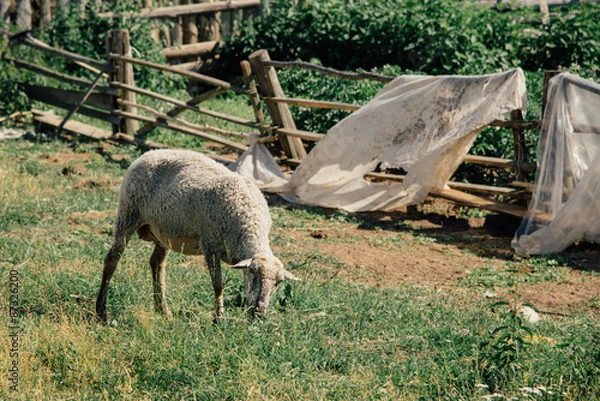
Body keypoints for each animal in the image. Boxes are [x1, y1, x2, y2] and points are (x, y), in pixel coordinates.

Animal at [95, 148, 298, 320]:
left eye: (279, 282)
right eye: (253, 272)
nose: (259, 311)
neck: (248, 221)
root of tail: (149, 153)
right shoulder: (209, 245)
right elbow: (218, 285)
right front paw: (219, 319)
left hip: (163, 232)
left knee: (156, 263)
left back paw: (162, 309)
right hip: (128, 214)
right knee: (112, 259)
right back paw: (101, 310)